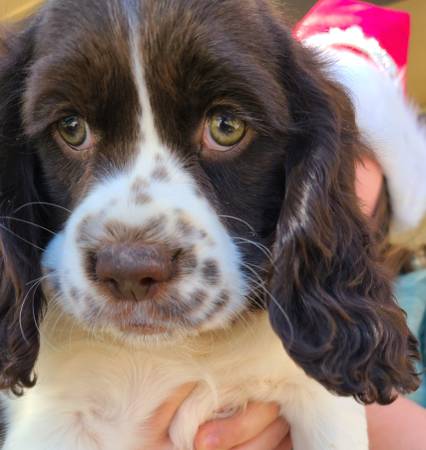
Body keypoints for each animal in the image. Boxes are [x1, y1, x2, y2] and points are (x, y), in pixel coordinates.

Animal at [0, 0, 420, 450]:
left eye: (226, 127)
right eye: (71, 128)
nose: (130, 271)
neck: (179, 352)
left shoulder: (316, 398)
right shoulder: (54, 418)